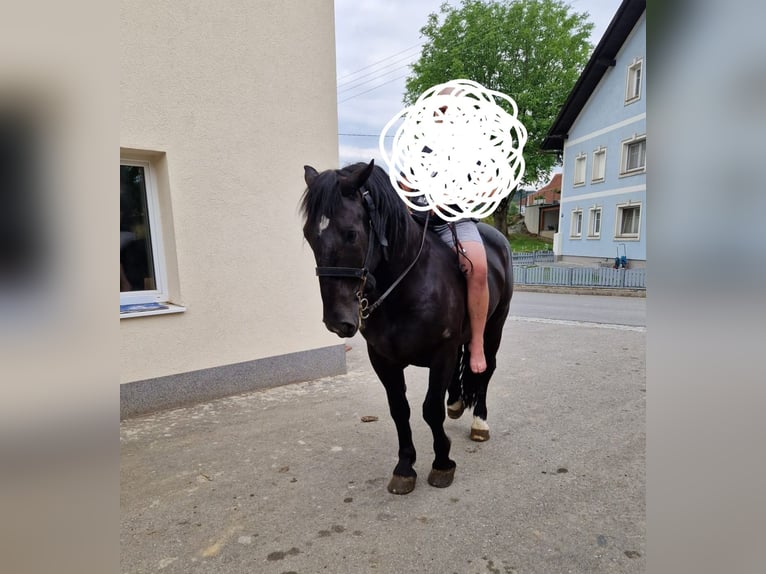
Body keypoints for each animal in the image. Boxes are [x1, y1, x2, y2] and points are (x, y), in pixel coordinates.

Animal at [300, 160, 513, 494]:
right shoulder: (383, 359)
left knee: (484, 369)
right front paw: (404, 467)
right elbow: (400, 409)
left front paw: (442, 463)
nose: (337, 321)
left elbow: (430, 409)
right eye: (309, 235)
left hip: (494, 327)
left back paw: (480, 420)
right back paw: (456, 402)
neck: (407, 286)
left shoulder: (441, 352)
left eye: (351, 234)